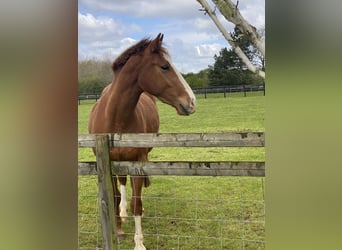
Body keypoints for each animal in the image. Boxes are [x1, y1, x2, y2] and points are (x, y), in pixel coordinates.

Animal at [88, 33, 195, 250]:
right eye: (164, 66)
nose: (192, 101)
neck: (115, 119)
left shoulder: (138, 161)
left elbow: (136, 202)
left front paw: (139, 243)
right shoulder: (109, 164)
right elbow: (114, 196)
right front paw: (119, 230)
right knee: (122, 184)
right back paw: (122, 213)